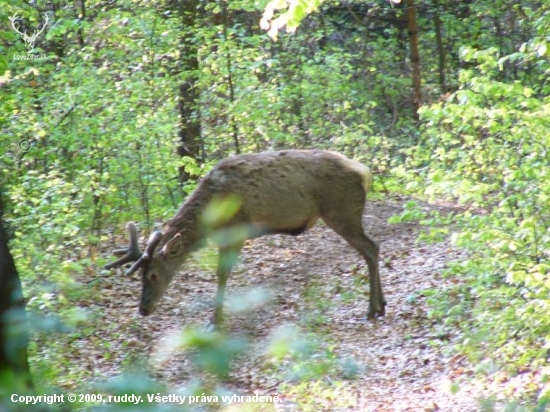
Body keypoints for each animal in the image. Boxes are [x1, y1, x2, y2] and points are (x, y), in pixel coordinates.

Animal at [105, 150, 386, 326]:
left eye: (153, 275)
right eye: (139, 275)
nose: (143, 310)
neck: (211, 219)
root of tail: (365, 172)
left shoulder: (236, 231)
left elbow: (222, 274)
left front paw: (215, 321)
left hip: (341, 212)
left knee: (371, 247)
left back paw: (372, 308)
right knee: (373, 248)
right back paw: (382, 304)